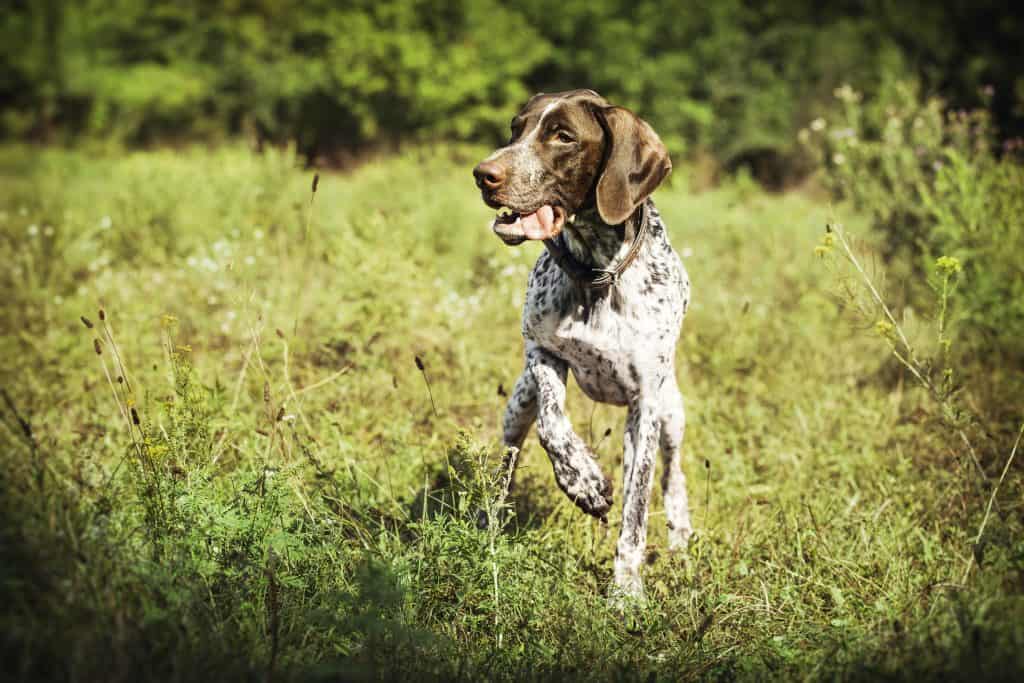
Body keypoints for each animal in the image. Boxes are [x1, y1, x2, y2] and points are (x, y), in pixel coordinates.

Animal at [475, 87, 692, 598]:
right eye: (516, 129)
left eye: (563, 137)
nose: (483, 174)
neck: (596, 272)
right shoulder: (542, 354)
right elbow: (553, 428)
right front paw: (586, 484)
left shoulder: (647, 406)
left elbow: (635, 514)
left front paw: (626, 592)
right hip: (517, 404)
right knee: (508, 461)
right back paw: (488, 527)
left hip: (671, 415)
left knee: (672, 476)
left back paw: (680, 537)